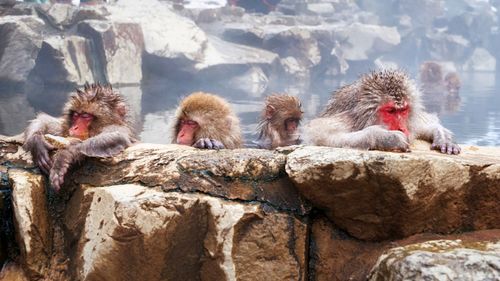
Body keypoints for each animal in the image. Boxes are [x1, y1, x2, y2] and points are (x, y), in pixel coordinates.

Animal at [302, 69, 458, 154]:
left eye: (403, 110)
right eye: (390, 111)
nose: (402, 128)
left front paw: (442, 135)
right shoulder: (348, 119)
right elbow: (320, 135)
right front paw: (384, 137)